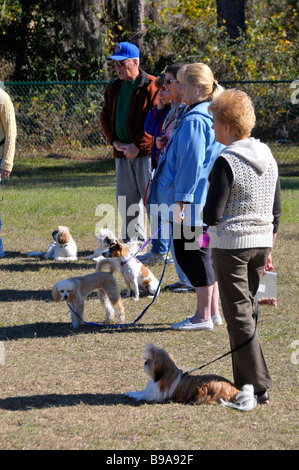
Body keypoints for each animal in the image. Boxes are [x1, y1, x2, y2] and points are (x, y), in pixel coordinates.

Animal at [126, 342, 258, 412]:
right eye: (148, 359)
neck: (164, 375)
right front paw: (130, 392)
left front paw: (132, 395)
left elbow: (143, 395)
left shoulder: (156, 395)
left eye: (152, 361)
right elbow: (141, 391)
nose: (145, 362)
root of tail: (235, 390)